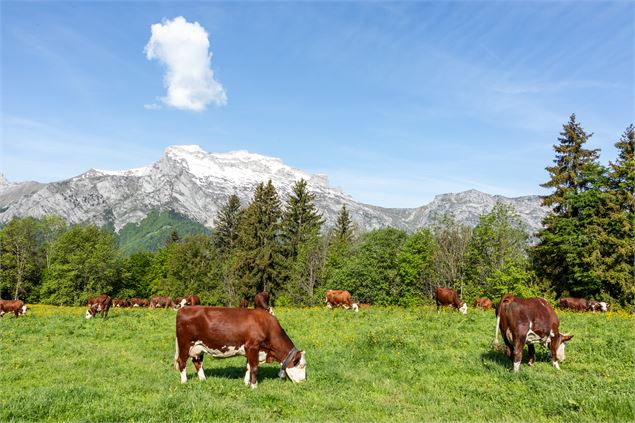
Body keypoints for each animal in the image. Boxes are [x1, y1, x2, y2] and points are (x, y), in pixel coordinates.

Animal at [173, 306, 304, 390]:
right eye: (302, 365)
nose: (303, 382)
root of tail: (184, 309)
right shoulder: (252, 346)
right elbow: (254, 368)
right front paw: (254, 387)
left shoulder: (251, 349)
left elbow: (248, 367)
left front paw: (246, 383)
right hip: (185, 344)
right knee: (181, 361)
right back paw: (184, 382)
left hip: (198, 347)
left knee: (198, 362)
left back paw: (203, 380)